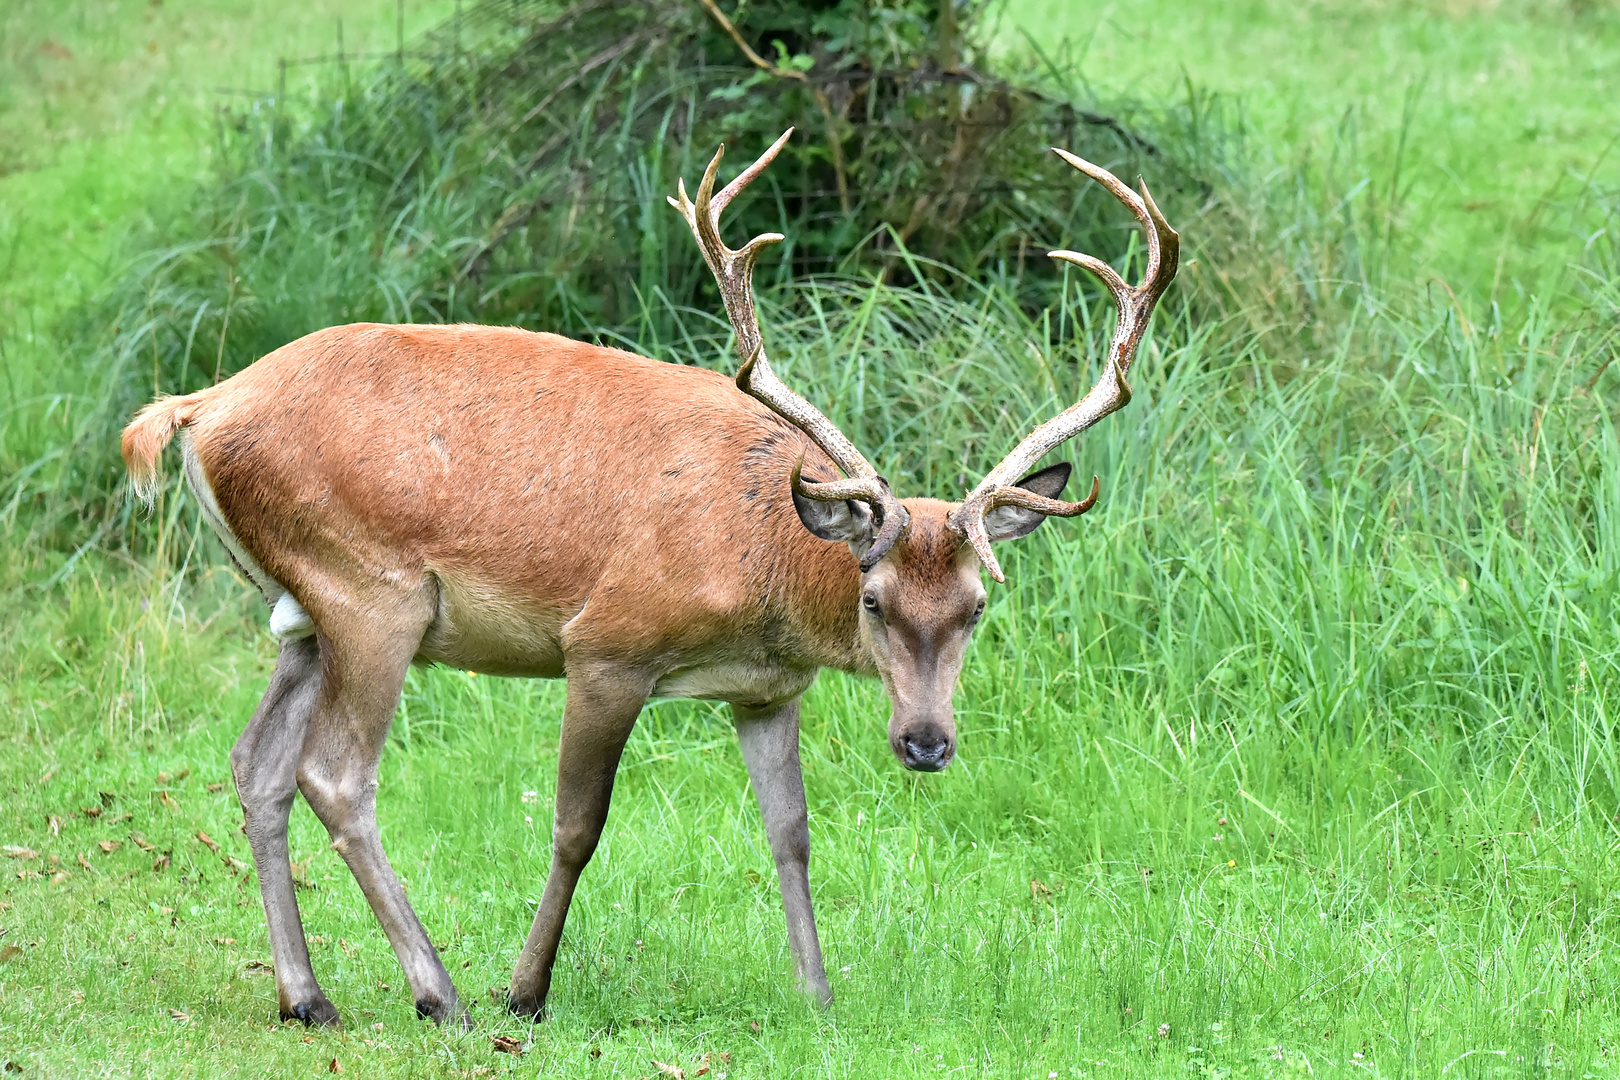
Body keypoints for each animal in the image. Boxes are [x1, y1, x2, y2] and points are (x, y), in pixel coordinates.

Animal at [117, 131, 1179, 1029]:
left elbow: (791, 831)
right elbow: (576, 825)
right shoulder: (607, 645)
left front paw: (817, 995)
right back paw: (439, 993)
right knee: (335, 774)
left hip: (302, 610)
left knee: (256, 765)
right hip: (372, 593)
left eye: (978, 606)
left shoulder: (766, 692)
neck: (764, 563)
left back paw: (308, 998)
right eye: (874, 600)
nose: (925, 743)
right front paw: (526, 992)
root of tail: (197, 407)